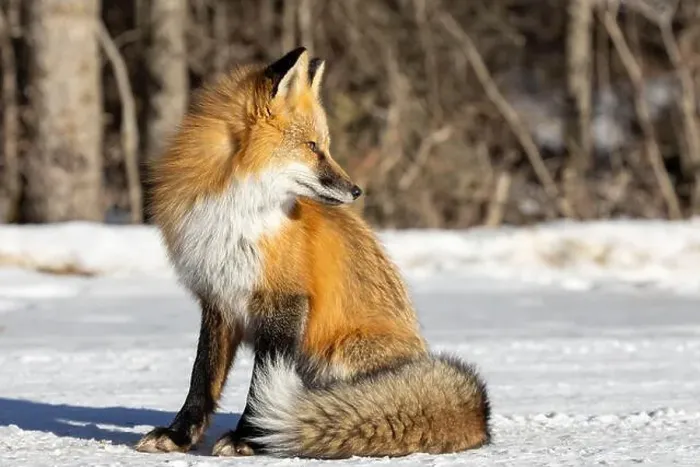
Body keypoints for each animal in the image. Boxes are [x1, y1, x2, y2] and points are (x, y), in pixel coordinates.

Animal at [135, 47, 491, 459]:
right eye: (312, 147)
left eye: (325, 146)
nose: (356, 191)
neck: (235, 215)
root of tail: (477, 420)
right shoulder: (217, 299)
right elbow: (201, 376)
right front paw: (179, 435)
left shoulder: (284, 300)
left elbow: (259, 383)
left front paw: (249, 438)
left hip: (338, 352)